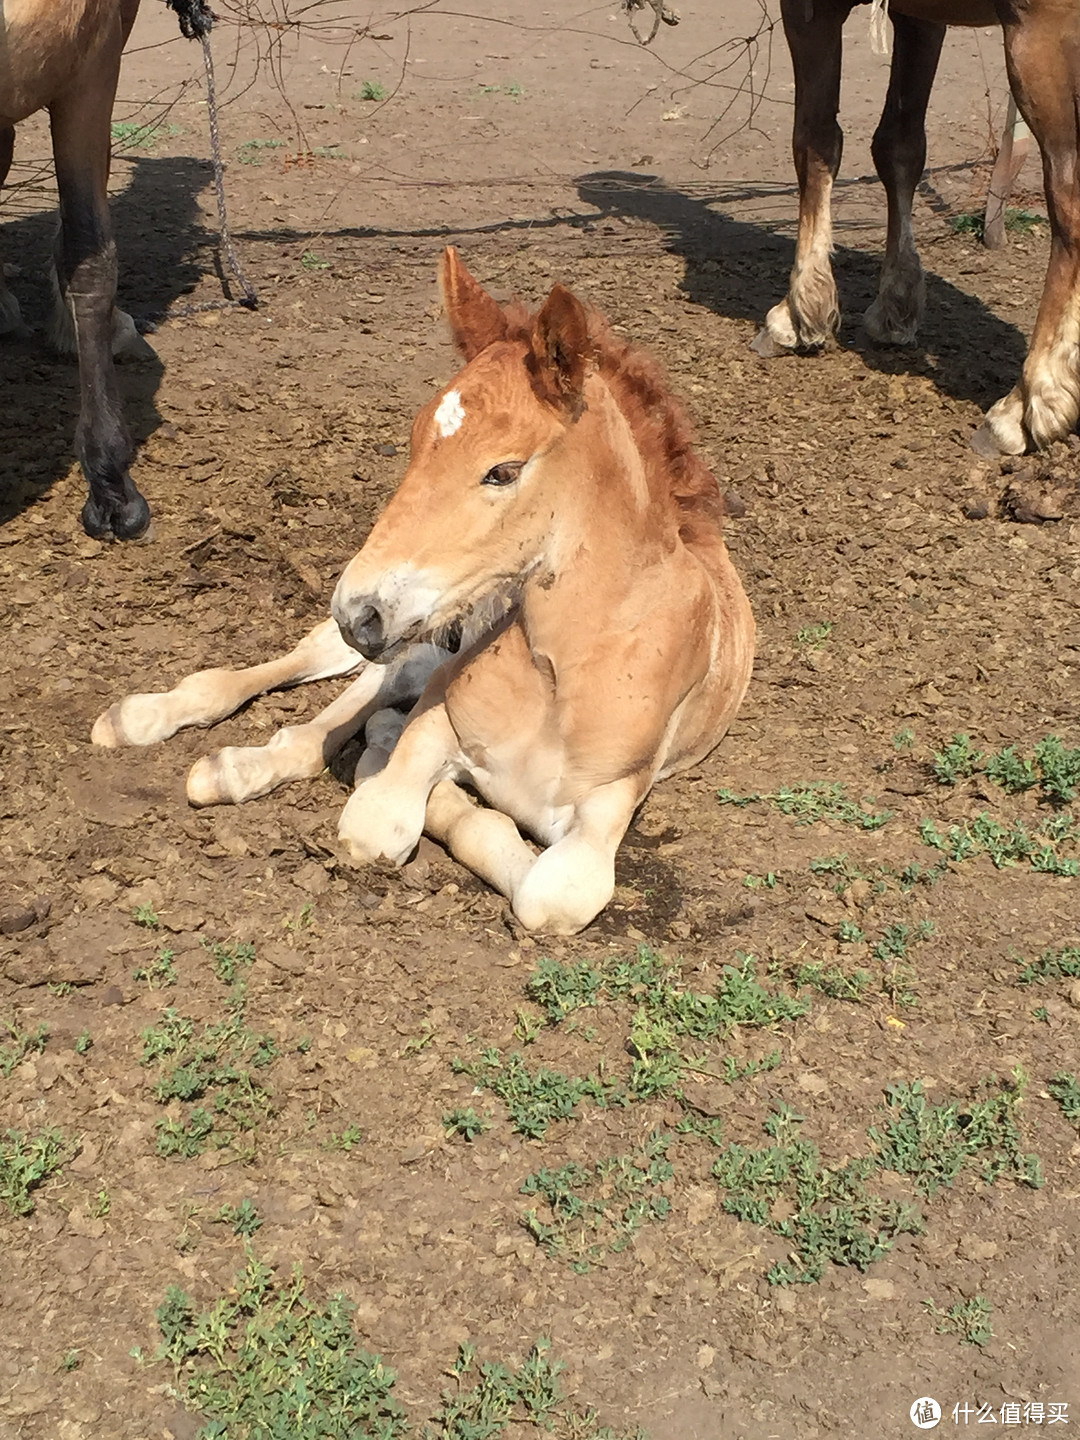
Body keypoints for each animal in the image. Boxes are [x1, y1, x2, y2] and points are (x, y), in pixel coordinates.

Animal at [92, 250, 754, 933]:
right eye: (413, 443)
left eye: (502, 471)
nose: (358, 609)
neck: (561, 667)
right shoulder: (434, 715)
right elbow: (386, 816)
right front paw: (386, 754)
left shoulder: (605, 809)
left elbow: (542, 895)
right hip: (411, 646)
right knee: (316, 678)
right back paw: (152, 723)